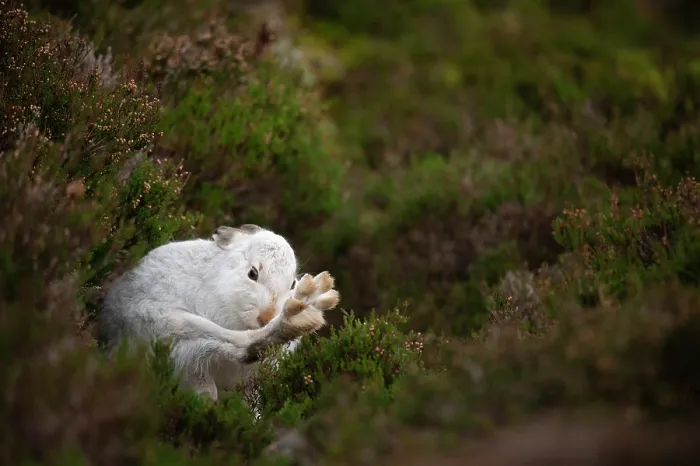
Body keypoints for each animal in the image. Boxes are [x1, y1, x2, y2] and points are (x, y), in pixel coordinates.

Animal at [97, 224, 340, 400]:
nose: (266, 317)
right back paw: (298, 318)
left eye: (292, 284)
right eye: (252, 273)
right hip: (164, 322)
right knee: (241, 346)